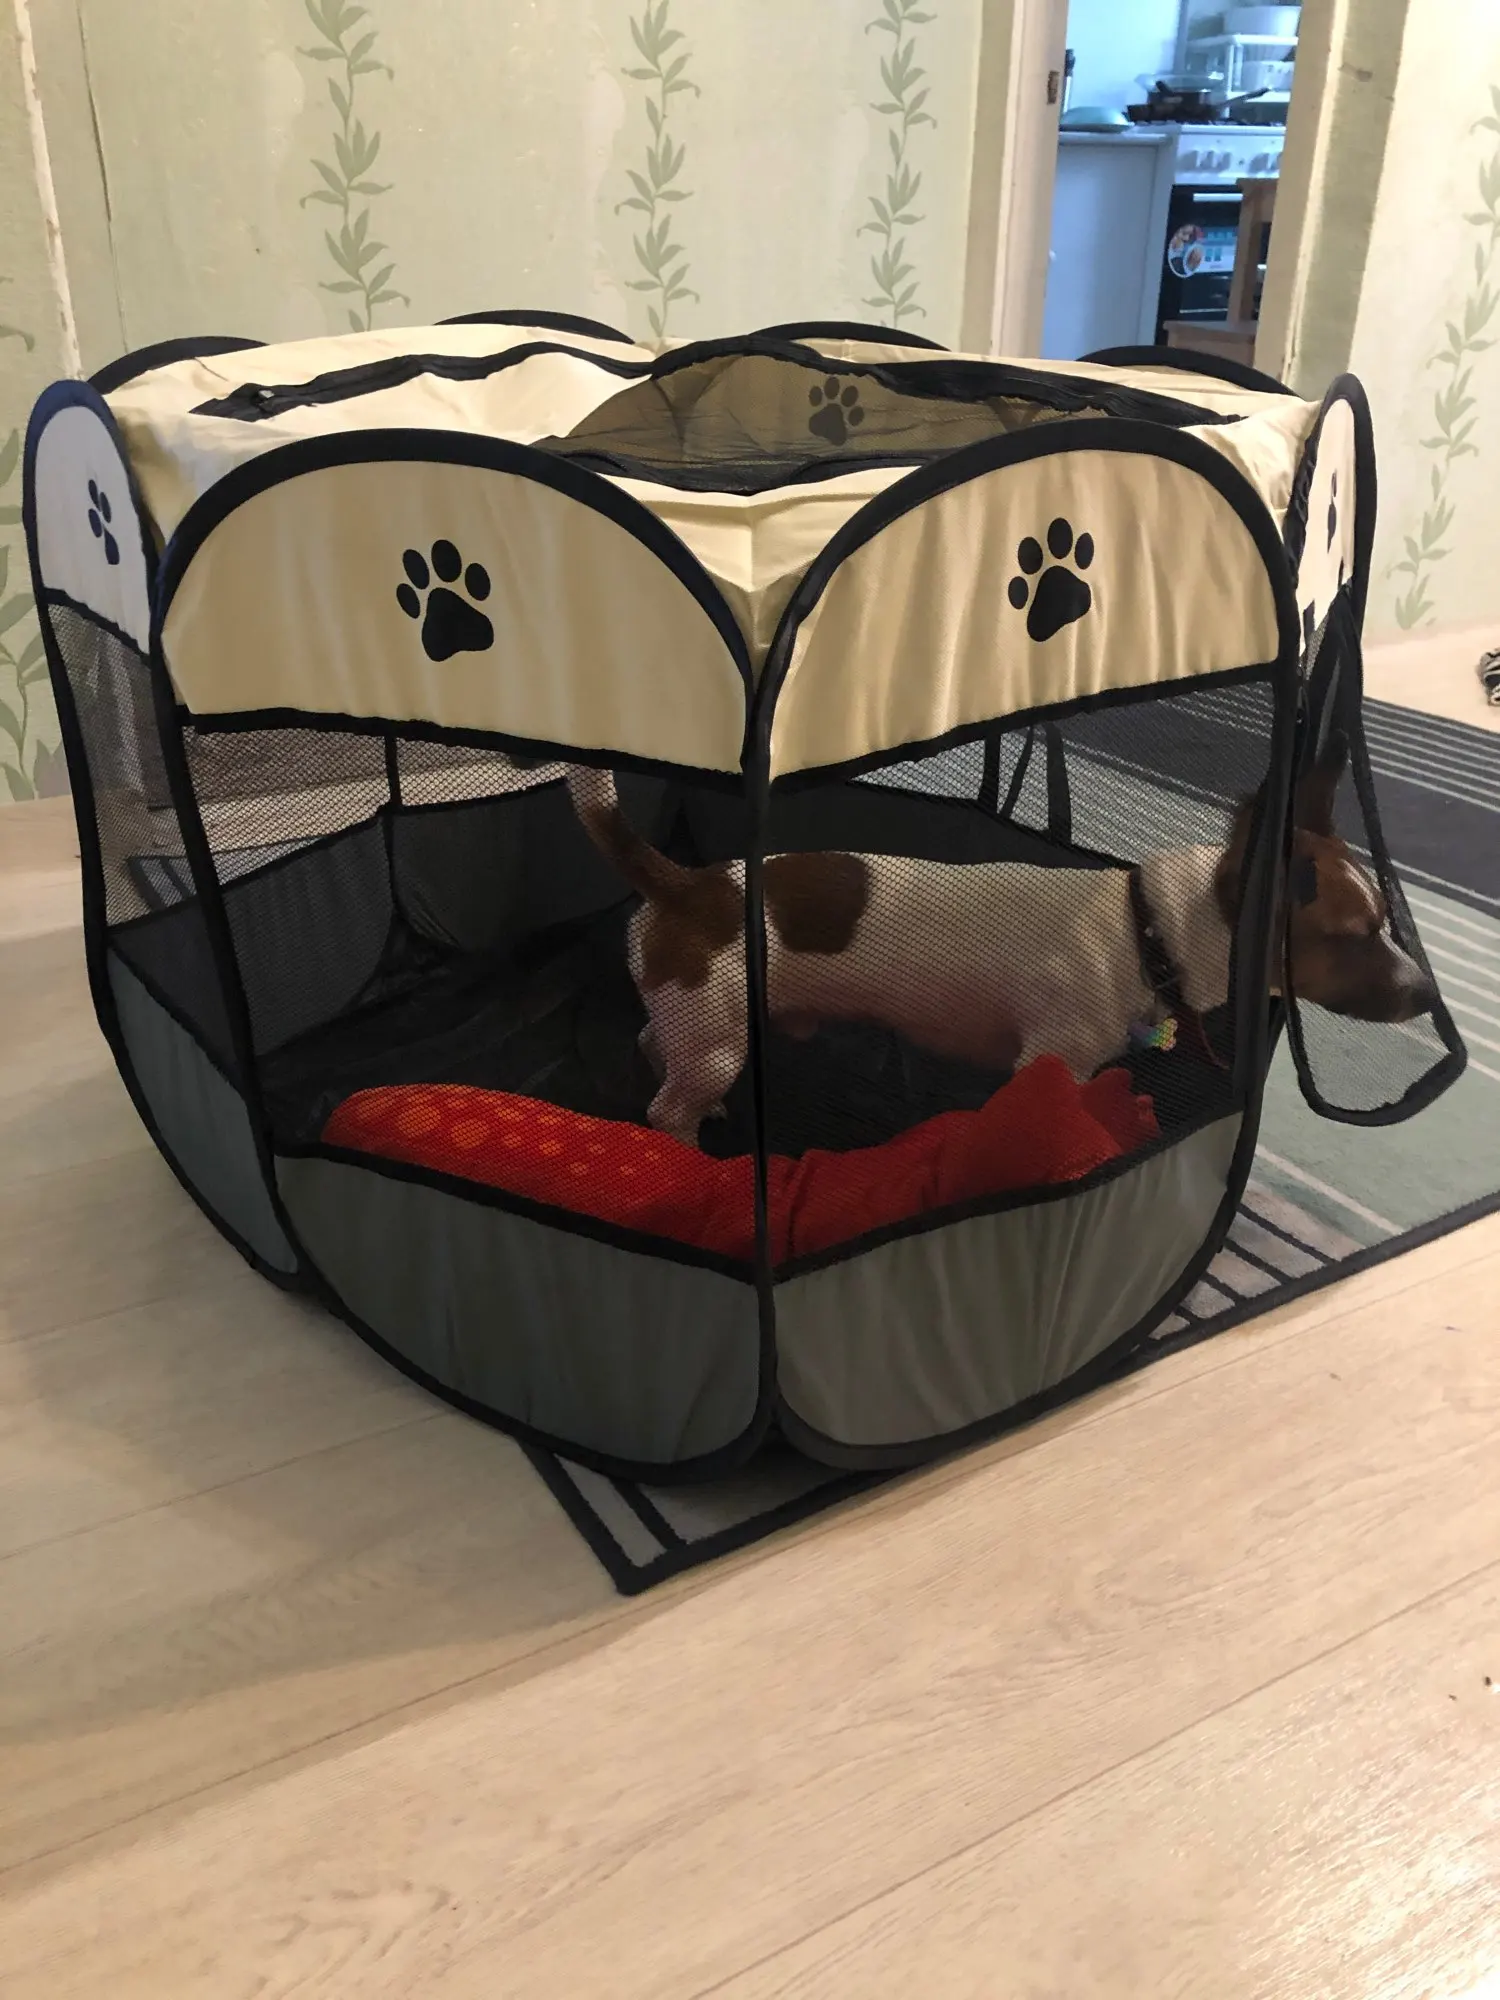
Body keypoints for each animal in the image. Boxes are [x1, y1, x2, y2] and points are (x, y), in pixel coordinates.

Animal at [566, 739, 1436, 1147]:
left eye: (1387, 923)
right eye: (1353, 937)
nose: (1428, 992)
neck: (1146, 925)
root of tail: (688, 884)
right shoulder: (1049, 1057)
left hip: (700, 1023)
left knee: (655, 1047)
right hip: (718, 1039)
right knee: (666, 1106)